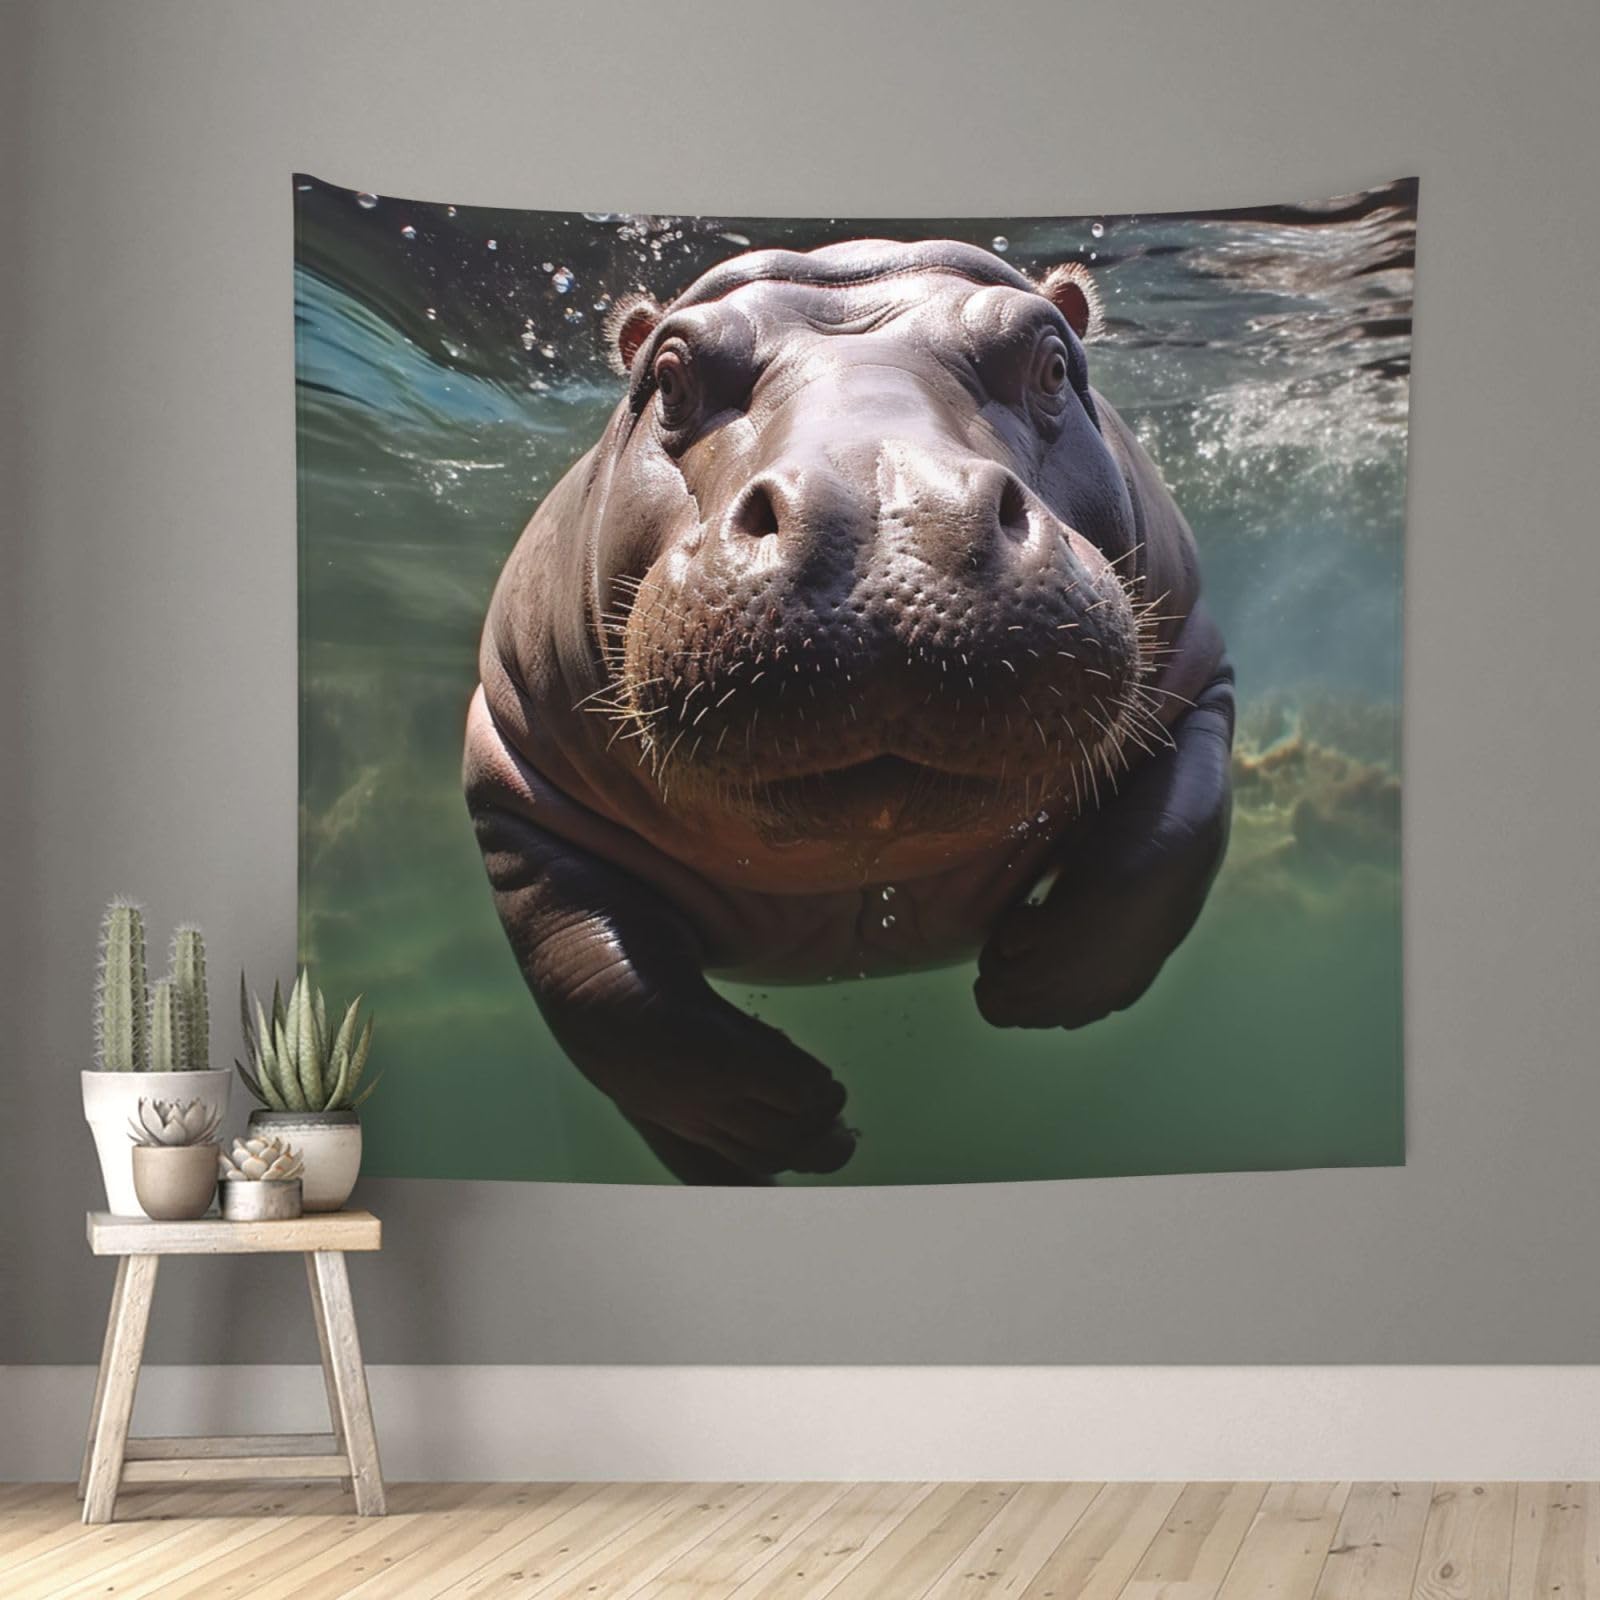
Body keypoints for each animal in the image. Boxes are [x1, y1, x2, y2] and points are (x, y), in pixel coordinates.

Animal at [464, 239, 1234, 1185]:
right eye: (670, 377)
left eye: (1052, 363)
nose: (883, 508)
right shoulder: (513, 767)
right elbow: (599, 979)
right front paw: (783, 1118)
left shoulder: (1197, 684)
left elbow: (1167, 847)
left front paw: (1034, 983)